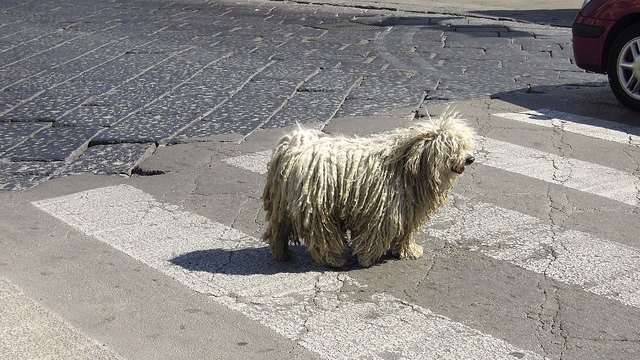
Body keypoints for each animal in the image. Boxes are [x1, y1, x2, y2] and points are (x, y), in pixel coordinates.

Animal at [260, 113, 476, 268]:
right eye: (451, 146)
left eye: (464, 144)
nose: (470, 158)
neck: (406, 165)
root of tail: (291, 149)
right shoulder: (383, 210)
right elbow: (374, 234)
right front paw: (366, 258)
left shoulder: (408, 210)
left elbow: (405, 232)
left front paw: (409, 250)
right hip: (317, 207)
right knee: (323, 236)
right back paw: (334, 260)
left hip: (282, 205)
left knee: (278, 230)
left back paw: (282, 254)